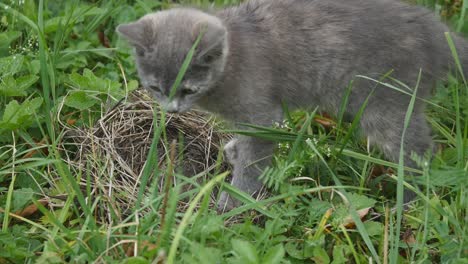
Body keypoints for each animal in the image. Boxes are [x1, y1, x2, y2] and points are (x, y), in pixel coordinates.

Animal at [116, 0, 464, 210]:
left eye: (187, 88)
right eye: (155, 87)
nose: (172, 109)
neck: (231, 61)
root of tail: (434, 30)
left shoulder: (261, 115)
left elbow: (254, 158)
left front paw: (234, 200)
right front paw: (233, 151)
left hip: (386, 105)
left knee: (419, 153)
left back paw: (408, 201)